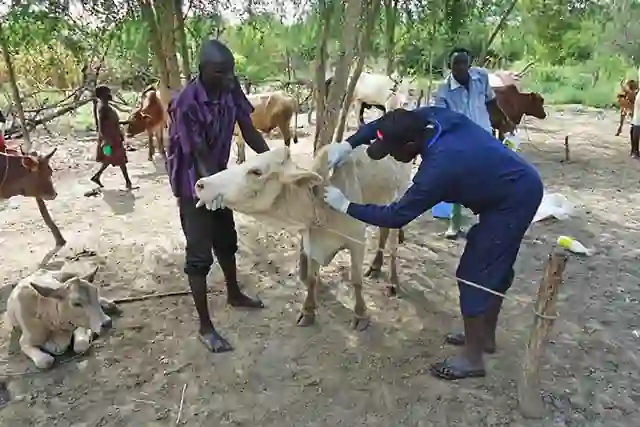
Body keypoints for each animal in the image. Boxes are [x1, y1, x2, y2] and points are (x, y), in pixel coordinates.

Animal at [192, 145, 412, 332]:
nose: (200, 184)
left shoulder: (357, 241)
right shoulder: (311, 243)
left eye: (256, 172)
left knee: (392, 242)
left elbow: (356, 280)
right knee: (384, 232)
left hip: (399, 197)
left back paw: (393, 281)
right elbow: (312, 279)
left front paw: (360, 315)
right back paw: (375, 266)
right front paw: (308, 311)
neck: (319, 202)